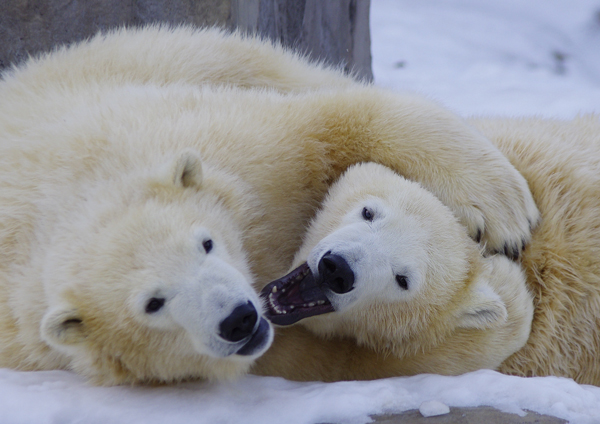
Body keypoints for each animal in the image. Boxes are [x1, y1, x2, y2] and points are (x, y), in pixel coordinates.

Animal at [0, 25, 536, 384]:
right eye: (153, 303)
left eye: (206, 243)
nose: (236, 318)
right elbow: (332, 358)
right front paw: (505, 295)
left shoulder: (223, 149)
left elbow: (322, 125)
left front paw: (503, 215)